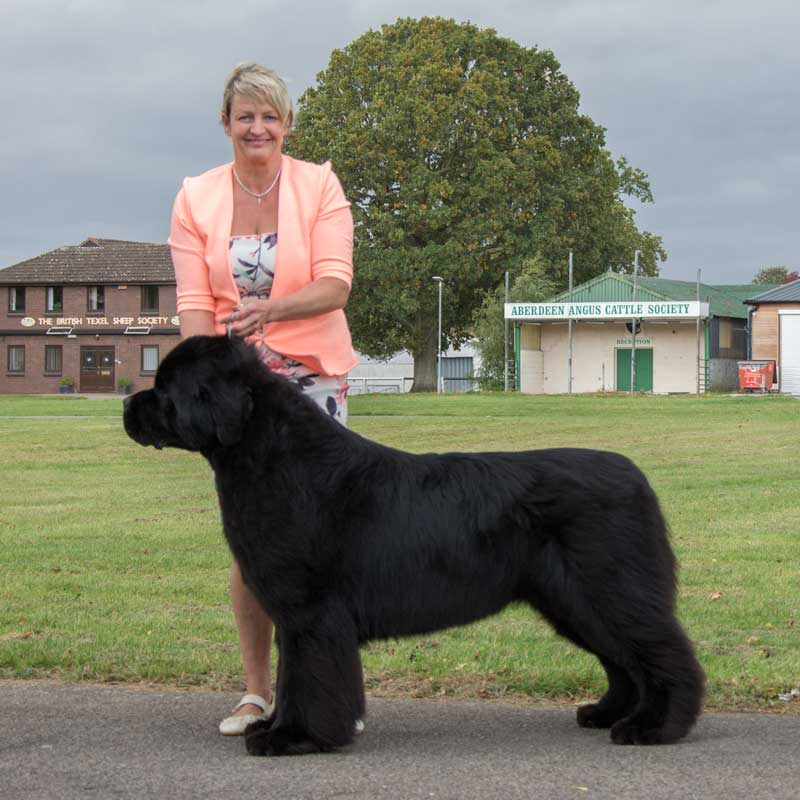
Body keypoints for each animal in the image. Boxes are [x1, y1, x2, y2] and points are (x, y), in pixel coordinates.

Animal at [122, 334, 704, 752]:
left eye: (166, 389)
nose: (127, 404)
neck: (273, 457)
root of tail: (637, 476)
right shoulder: (292, 615)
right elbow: (292, 677)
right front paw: (277, 728)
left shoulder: (311, 613)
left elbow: (310, 677)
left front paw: (296, 738)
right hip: (573, 600)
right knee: (623, 661)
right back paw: (607, 713)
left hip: (608, 588)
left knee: (663, 653)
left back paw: (656, 728)